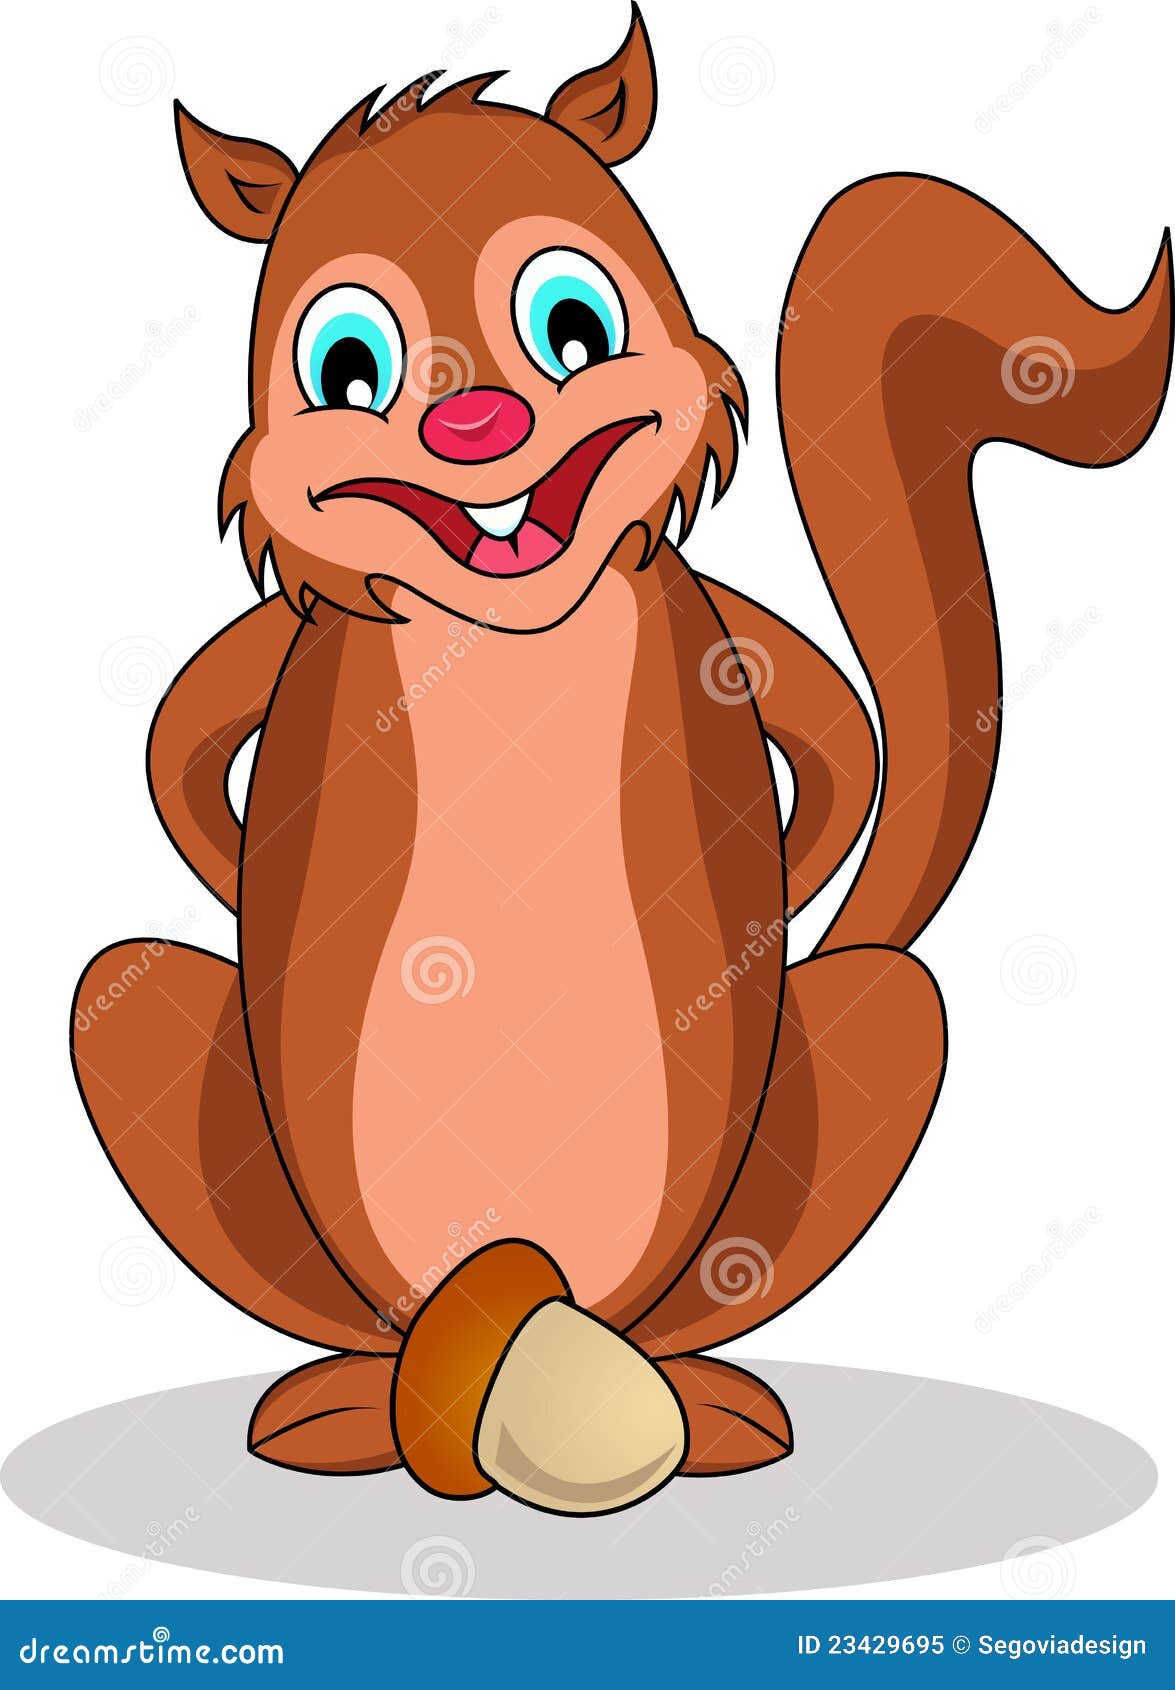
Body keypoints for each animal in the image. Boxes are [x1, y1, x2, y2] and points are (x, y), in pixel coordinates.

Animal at [71, 8, 1171, 1515]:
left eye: (571, 326)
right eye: (348, 367)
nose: (470, 430)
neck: (507, 628)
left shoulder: (713, 624)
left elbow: (831, 740)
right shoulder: (290, 640)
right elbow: (178, 747)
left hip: (841, 1078)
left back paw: (703, 1409)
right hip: (165, 1061)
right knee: (140, 1017)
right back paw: (348, 1409)